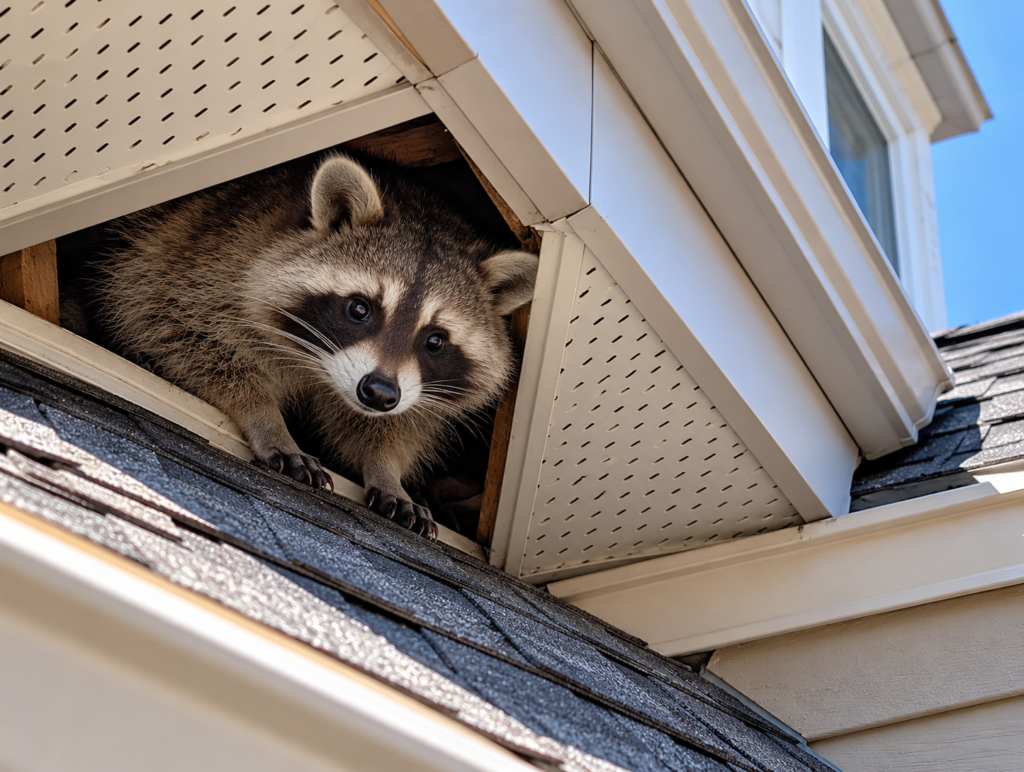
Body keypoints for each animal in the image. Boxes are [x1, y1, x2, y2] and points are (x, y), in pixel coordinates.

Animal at [98, 151, 538, 538]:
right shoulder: (207, 264)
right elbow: (183, 332)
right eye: (360, 308)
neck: (320, 369)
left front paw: (386, 469)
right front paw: (266, 418)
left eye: (435, 340)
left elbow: (392, 427)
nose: (379, 392)